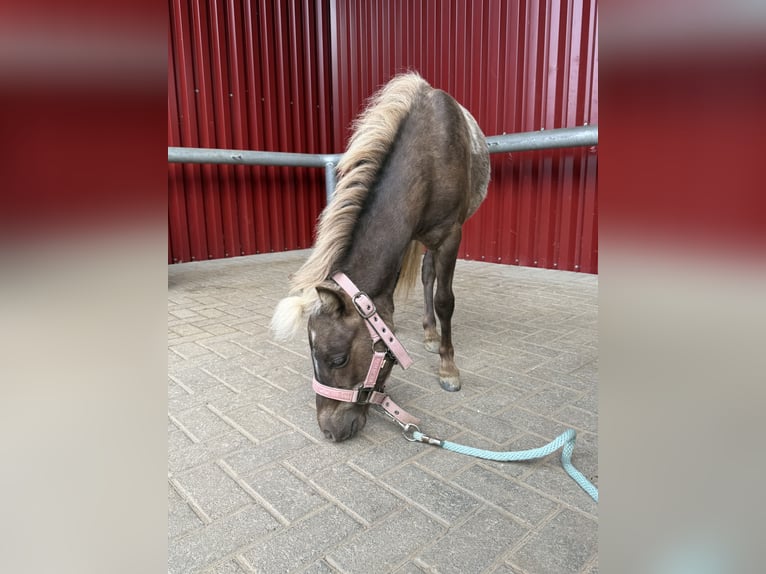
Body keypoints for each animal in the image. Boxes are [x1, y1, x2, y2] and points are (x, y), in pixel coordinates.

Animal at [271, 72, 490, 442]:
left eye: (338, 359)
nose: (329, 431)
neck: (429, 155)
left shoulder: (450, 236)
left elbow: (445, 299)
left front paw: (448, 368)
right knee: (426, 274)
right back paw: (428, 333)